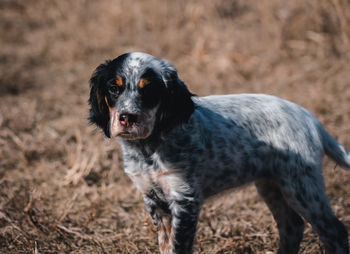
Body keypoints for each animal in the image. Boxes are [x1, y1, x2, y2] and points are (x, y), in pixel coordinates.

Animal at [88, 52, 350, 254]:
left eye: (149, 90)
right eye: (113, 88)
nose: (127, 117)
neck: (149, 148)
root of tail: (310, 118)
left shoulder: (185, 199)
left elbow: (177, 247)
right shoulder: (153, 199)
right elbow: (165, 245)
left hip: (302, 186)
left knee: (334, 231)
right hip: (271, 184)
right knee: (292, 227)